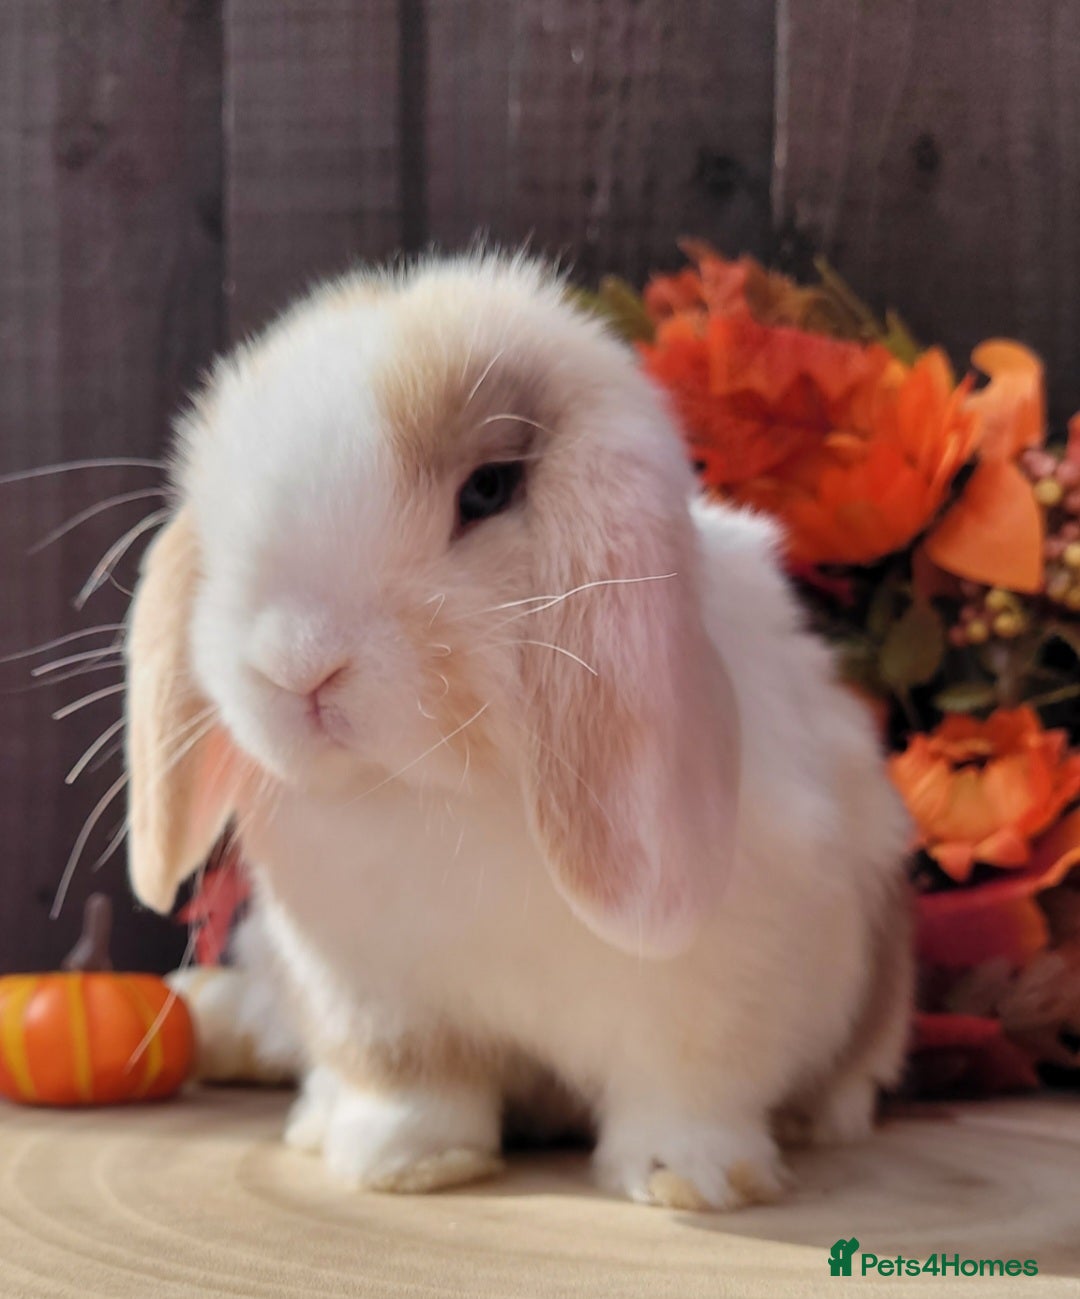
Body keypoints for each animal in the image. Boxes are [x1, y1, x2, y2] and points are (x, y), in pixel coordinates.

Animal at [125, 252, 913, 1211]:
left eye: (488, 488)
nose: (295, 662)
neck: (439, 791)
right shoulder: (376, 995)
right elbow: (413, 1083)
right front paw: (405, 1165)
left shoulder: (712, 997)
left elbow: (687, 1088)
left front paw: (690, 1180)